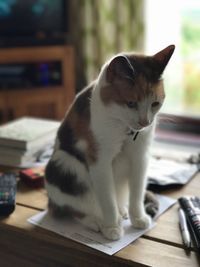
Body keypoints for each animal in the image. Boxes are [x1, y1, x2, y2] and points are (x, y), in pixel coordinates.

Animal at [45, 45, 175, 242]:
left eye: (155, 103)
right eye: (131, 103)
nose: (145, 122)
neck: (125, 129)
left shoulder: (141, 157)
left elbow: (137, 193)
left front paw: (138, 218)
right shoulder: (100, 161)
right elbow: (107, 199)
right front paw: (112, 227)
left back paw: (122, 211)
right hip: (64, 163)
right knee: (76, 208)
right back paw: (97, 221)